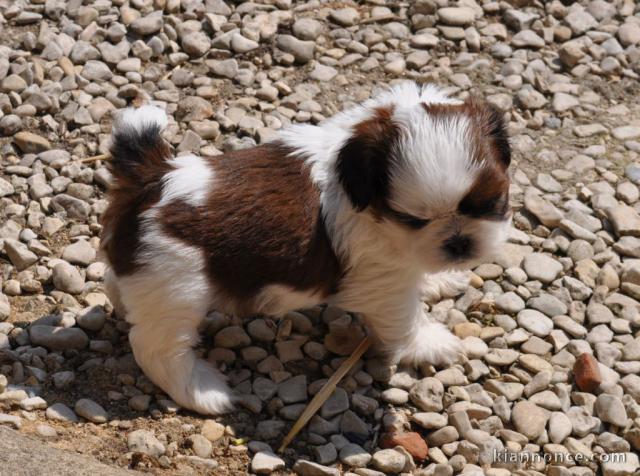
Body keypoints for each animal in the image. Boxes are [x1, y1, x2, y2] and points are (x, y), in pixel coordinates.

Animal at [101, 82, 510, 412]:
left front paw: (437, 281)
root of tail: (152, 177)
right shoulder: (381, 281)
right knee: (157, 347)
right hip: (177, 287)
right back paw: (204, 391)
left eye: (491, 203)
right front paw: (429, 343)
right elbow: (404, 316)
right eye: (412, 219)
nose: (458, 242)